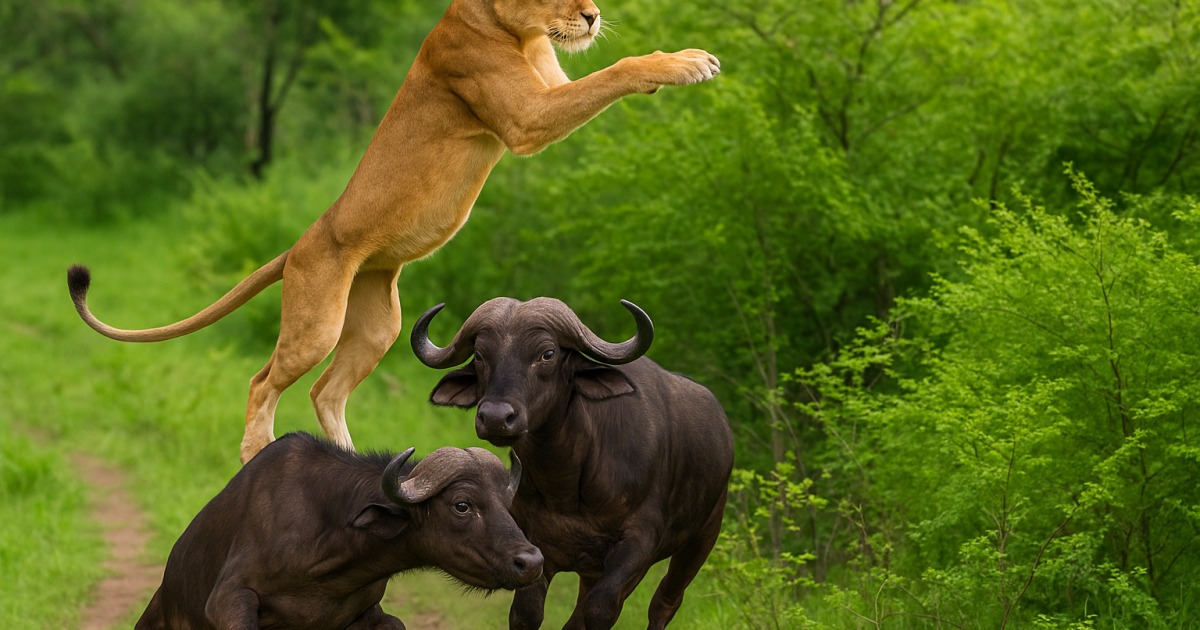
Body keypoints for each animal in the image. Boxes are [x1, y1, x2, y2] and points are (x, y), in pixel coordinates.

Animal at [67, 0, 719, 464]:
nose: (592, 15)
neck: (516, 30)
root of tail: (297, 246)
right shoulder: (525, 119)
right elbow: (616, 69)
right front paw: (688, 62)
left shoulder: (549, 90)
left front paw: (679, 62)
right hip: (317, 322)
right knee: (262, 382)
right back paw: (256, 455)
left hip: (378, 324)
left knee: (325, 392)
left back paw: (353, 463)